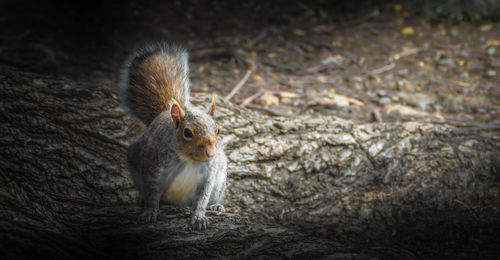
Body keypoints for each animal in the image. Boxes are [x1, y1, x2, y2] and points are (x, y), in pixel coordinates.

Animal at [118, 43, 228, 231]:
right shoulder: (153, 167)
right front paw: (149, 212)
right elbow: (152, 193)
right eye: (187, 133)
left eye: (218, 130)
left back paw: (216, 206)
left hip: (220, 179)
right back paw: (142, 201)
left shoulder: (209, 175)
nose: (211, 153)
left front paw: (199, 217)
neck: (189, 160)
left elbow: (202, 198)